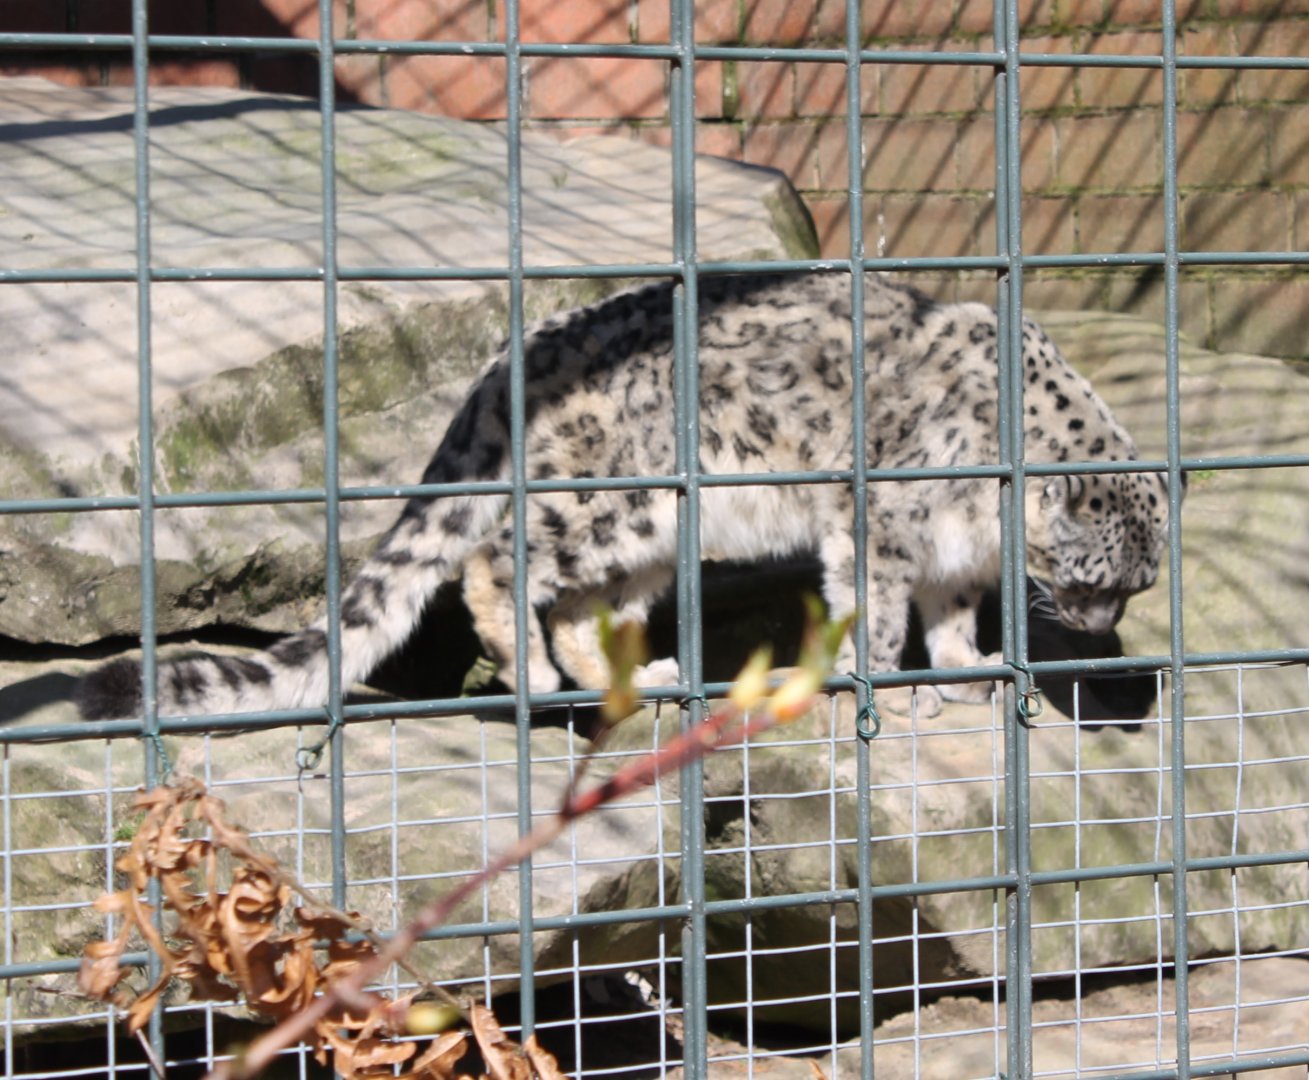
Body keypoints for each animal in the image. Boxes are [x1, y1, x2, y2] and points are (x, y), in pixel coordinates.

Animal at [76, 271, 1176, 721]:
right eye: (1098, 579)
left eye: (1136, 585)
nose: (1097, 625)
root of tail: (512, 358)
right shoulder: (884, 527)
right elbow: (875, 608)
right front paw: (888, 683)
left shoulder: (954, 556)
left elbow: (947, 614)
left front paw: (963, 669)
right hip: (617, 502)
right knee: (497, 563)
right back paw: (525, 671)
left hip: (650, 539)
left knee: (579, 606)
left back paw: (632, 677)